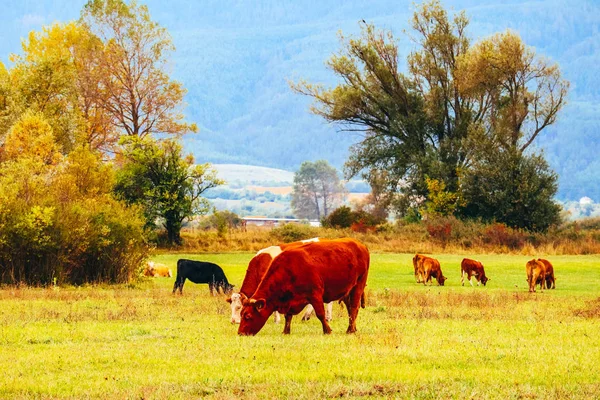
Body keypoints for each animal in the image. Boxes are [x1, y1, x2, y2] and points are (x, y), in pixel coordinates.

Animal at [237, 238, 368, 334]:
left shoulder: (315, 294)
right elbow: (288, 316)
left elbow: (320, 314)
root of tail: (360, 244)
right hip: (347, 291)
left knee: (354, 307)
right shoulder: (289, 298)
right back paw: (353, 328)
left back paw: (350, 330)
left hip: (358, 285)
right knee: (350, 309)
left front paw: (327, 330)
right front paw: (286, 331)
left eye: (248, 316)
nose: (240, 333)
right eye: (241, 314)